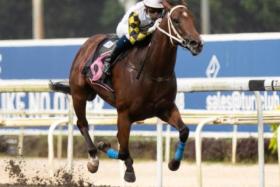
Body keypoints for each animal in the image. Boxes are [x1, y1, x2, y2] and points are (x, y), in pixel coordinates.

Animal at [50, 0, 201, 183]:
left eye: (192, 18)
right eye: (176, 20)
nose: (197, 43)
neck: (152, 71)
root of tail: (88, 42)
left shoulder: (165, 108)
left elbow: (184, 131)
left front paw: (174, 163)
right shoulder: (124, 113)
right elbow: (122, 151)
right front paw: (113, 156)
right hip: (79, 94)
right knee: (82, 124)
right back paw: (93, 159)